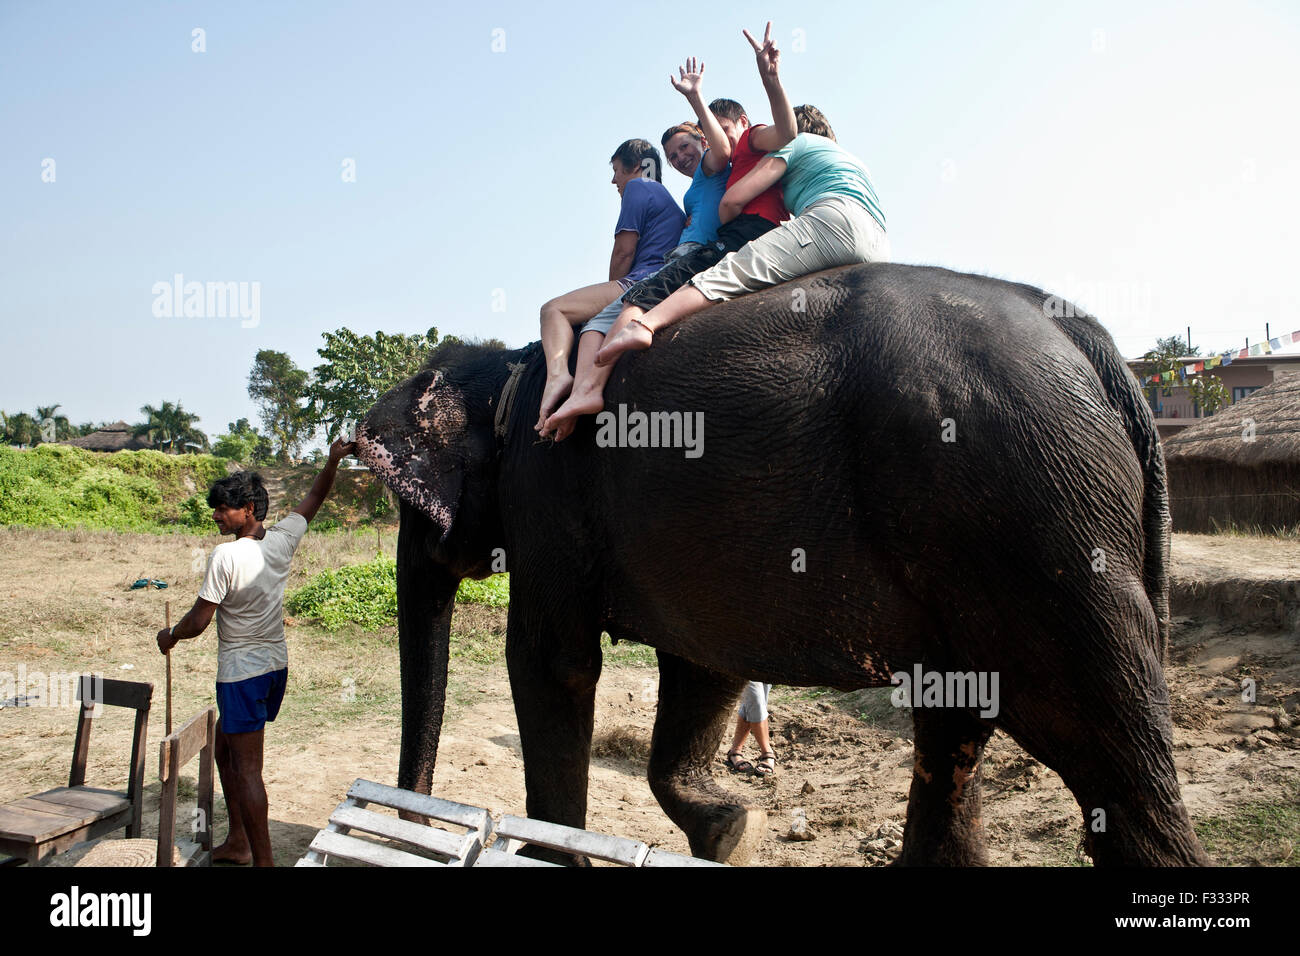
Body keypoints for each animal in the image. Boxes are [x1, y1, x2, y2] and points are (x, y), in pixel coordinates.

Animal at [355, 261, 1209, 866]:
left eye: (406, 504)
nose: (405, 821)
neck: (512, 368)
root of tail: (1097, 348)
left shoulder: (549, 490)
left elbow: (553, 664)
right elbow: (702, 669)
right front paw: (734, 833)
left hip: (1034, 521)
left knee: (1106, 754)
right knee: (955, 720)